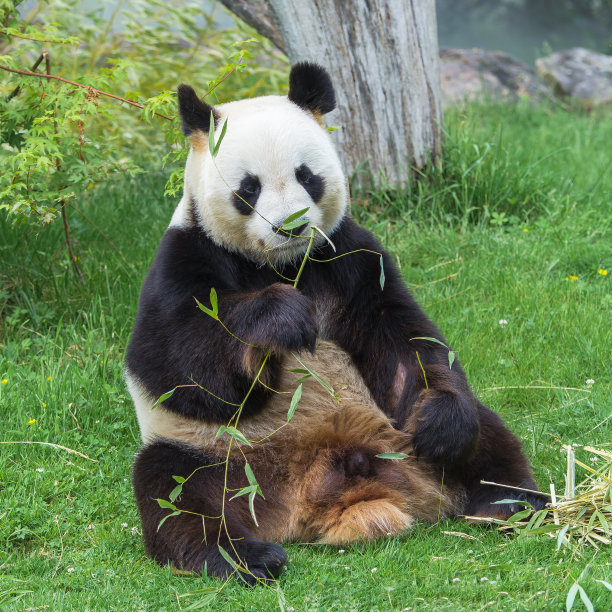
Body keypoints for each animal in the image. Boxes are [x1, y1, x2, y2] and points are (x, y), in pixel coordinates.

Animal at [125, 64, 544, 584]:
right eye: (249, 188)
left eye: (307, 176)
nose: (290, 227)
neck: (282, 264)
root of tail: (317, 493)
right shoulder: (186, 257)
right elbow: (178, 364)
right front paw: (281, 319)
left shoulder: (350, 257)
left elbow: (403, 341)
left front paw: (442, 424)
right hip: (224, 458)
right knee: (176, 490)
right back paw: (244, 558)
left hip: (398, 434)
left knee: (481, 428)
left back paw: (509, 498)